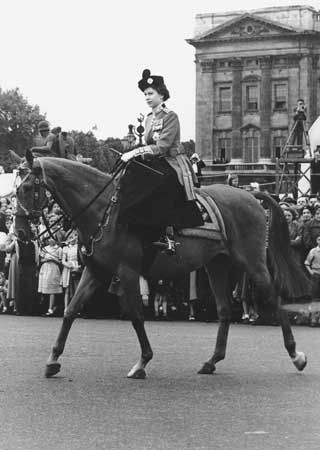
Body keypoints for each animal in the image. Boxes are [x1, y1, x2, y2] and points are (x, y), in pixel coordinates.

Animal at [15, 152, 310, 380]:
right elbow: (71, 310)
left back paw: (296, 355)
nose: (19, 233)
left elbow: (135, 314)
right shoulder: (96, 271)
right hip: (216, 264)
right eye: (16, 189)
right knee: (225, 310)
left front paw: (142, 361)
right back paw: (212, 361)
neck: (104, 211)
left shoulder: (127, 272)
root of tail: (251, 196)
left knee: (274, 298)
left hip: (252, 262)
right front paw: (53, 360)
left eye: (27, 188)